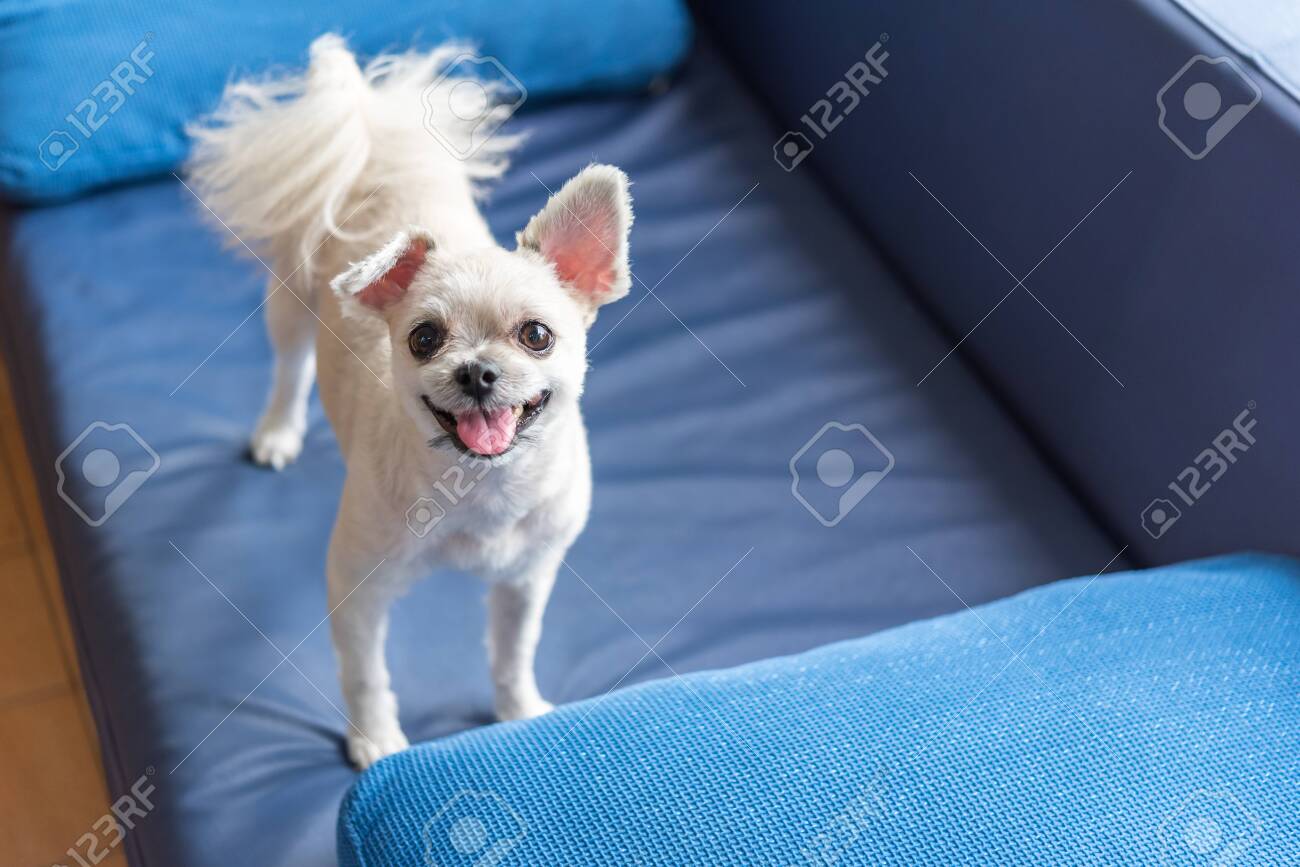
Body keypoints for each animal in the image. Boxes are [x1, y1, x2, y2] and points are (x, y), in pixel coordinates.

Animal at [189, 33, 631, 769]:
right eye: (425, 339)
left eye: (536, 335)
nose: (478, 372)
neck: (481, 489)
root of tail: (371, 131)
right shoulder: (357, 587)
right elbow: (365, 671)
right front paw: (376, 740)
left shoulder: (527, 580)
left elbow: (513, 653)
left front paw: (519, 712)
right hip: (290, 299)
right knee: (289, 368)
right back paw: (278, 431)